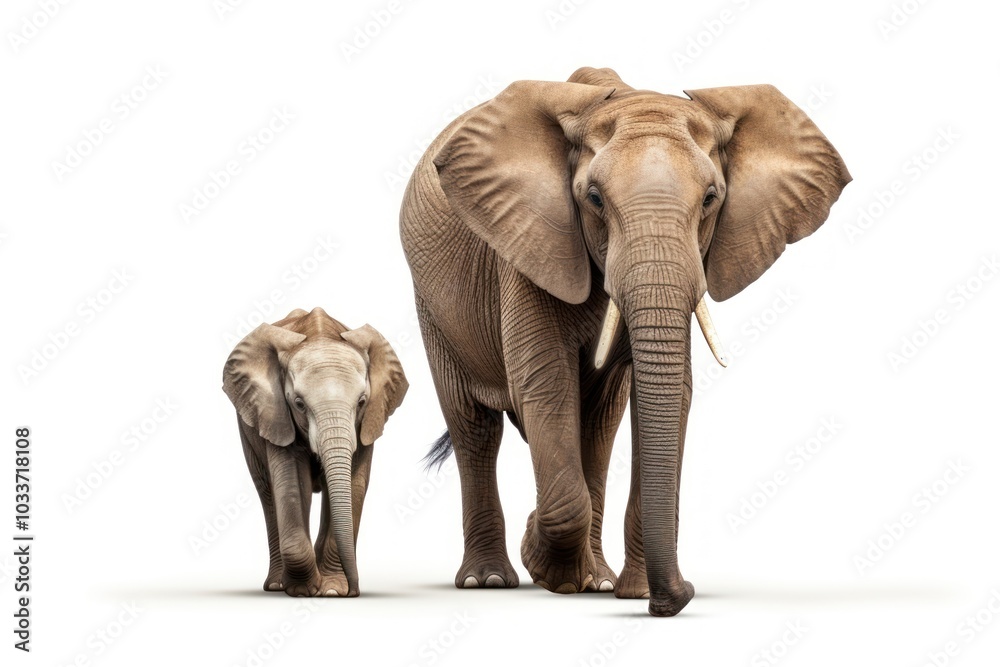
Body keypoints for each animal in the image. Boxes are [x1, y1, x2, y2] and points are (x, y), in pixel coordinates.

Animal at [222, 307, 408, 597]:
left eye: (362, 401)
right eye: (298, 404)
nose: (355, 591)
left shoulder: (370, 420)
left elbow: (354, 485)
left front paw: (332, 591)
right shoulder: (276, 414)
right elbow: (290, 485)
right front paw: (303, 591)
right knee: (268, 494)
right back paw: (276, 585)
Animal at [399, 67, 850, 616]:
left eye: (711, 199)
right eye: (593, 198)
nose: (682, 594)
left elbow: (672, 395)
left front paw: (629, 592)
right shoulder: (527, 245)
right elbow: (545, 385)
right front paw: (545, 566)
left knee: (597, 426)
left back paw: (597, 580)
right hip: (433, 307)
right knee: (475, 428)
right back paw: (488, 580)